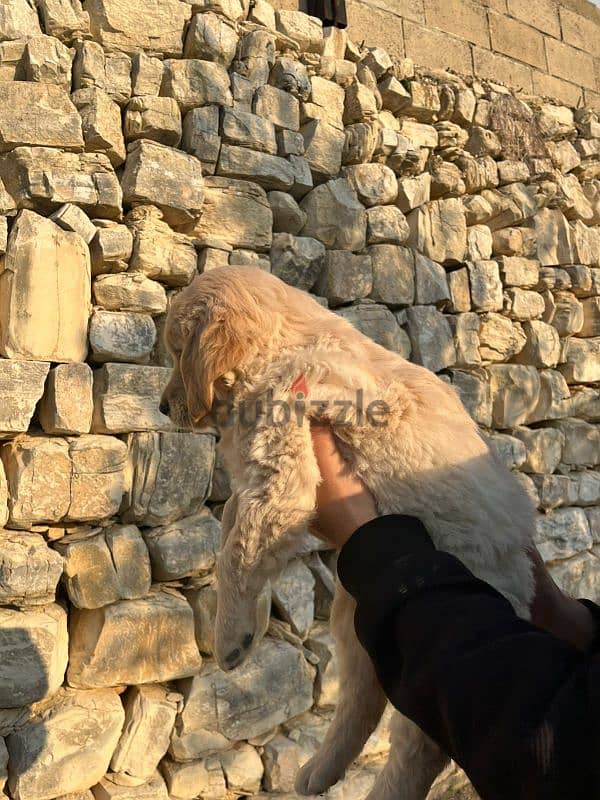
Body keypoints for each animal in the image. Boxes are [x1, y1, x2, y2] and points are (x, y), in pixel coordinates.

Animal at [159, 268, 536, 800]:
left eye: (177, 352)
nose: (161, 405)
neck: (283, 348)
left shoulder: (283, 466)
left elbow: (239, 547)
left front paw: (231, 636)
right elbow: (234, 520)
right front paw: (248, 615)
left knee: (419, 746)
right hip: (355, 613)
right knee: (363, 697)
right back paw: (320, 770)